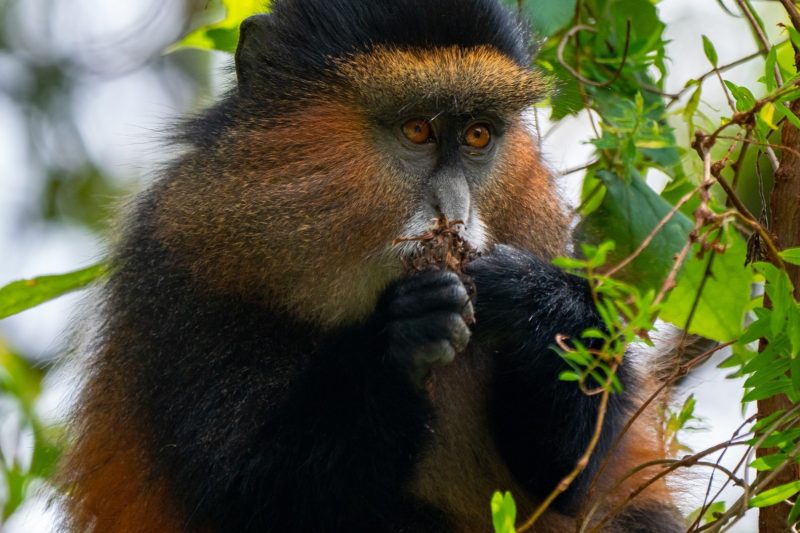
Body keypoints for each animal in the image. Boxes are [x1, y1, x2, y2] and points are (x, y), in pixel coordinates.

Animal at [58, 0, 686, 531]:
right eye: (417, 129)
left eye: (478, 134)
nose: (455, 211)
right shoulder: (177, 262)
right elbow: (246, 493)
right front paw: (402, 335)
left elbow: (569, 473)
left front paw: (533, 300)